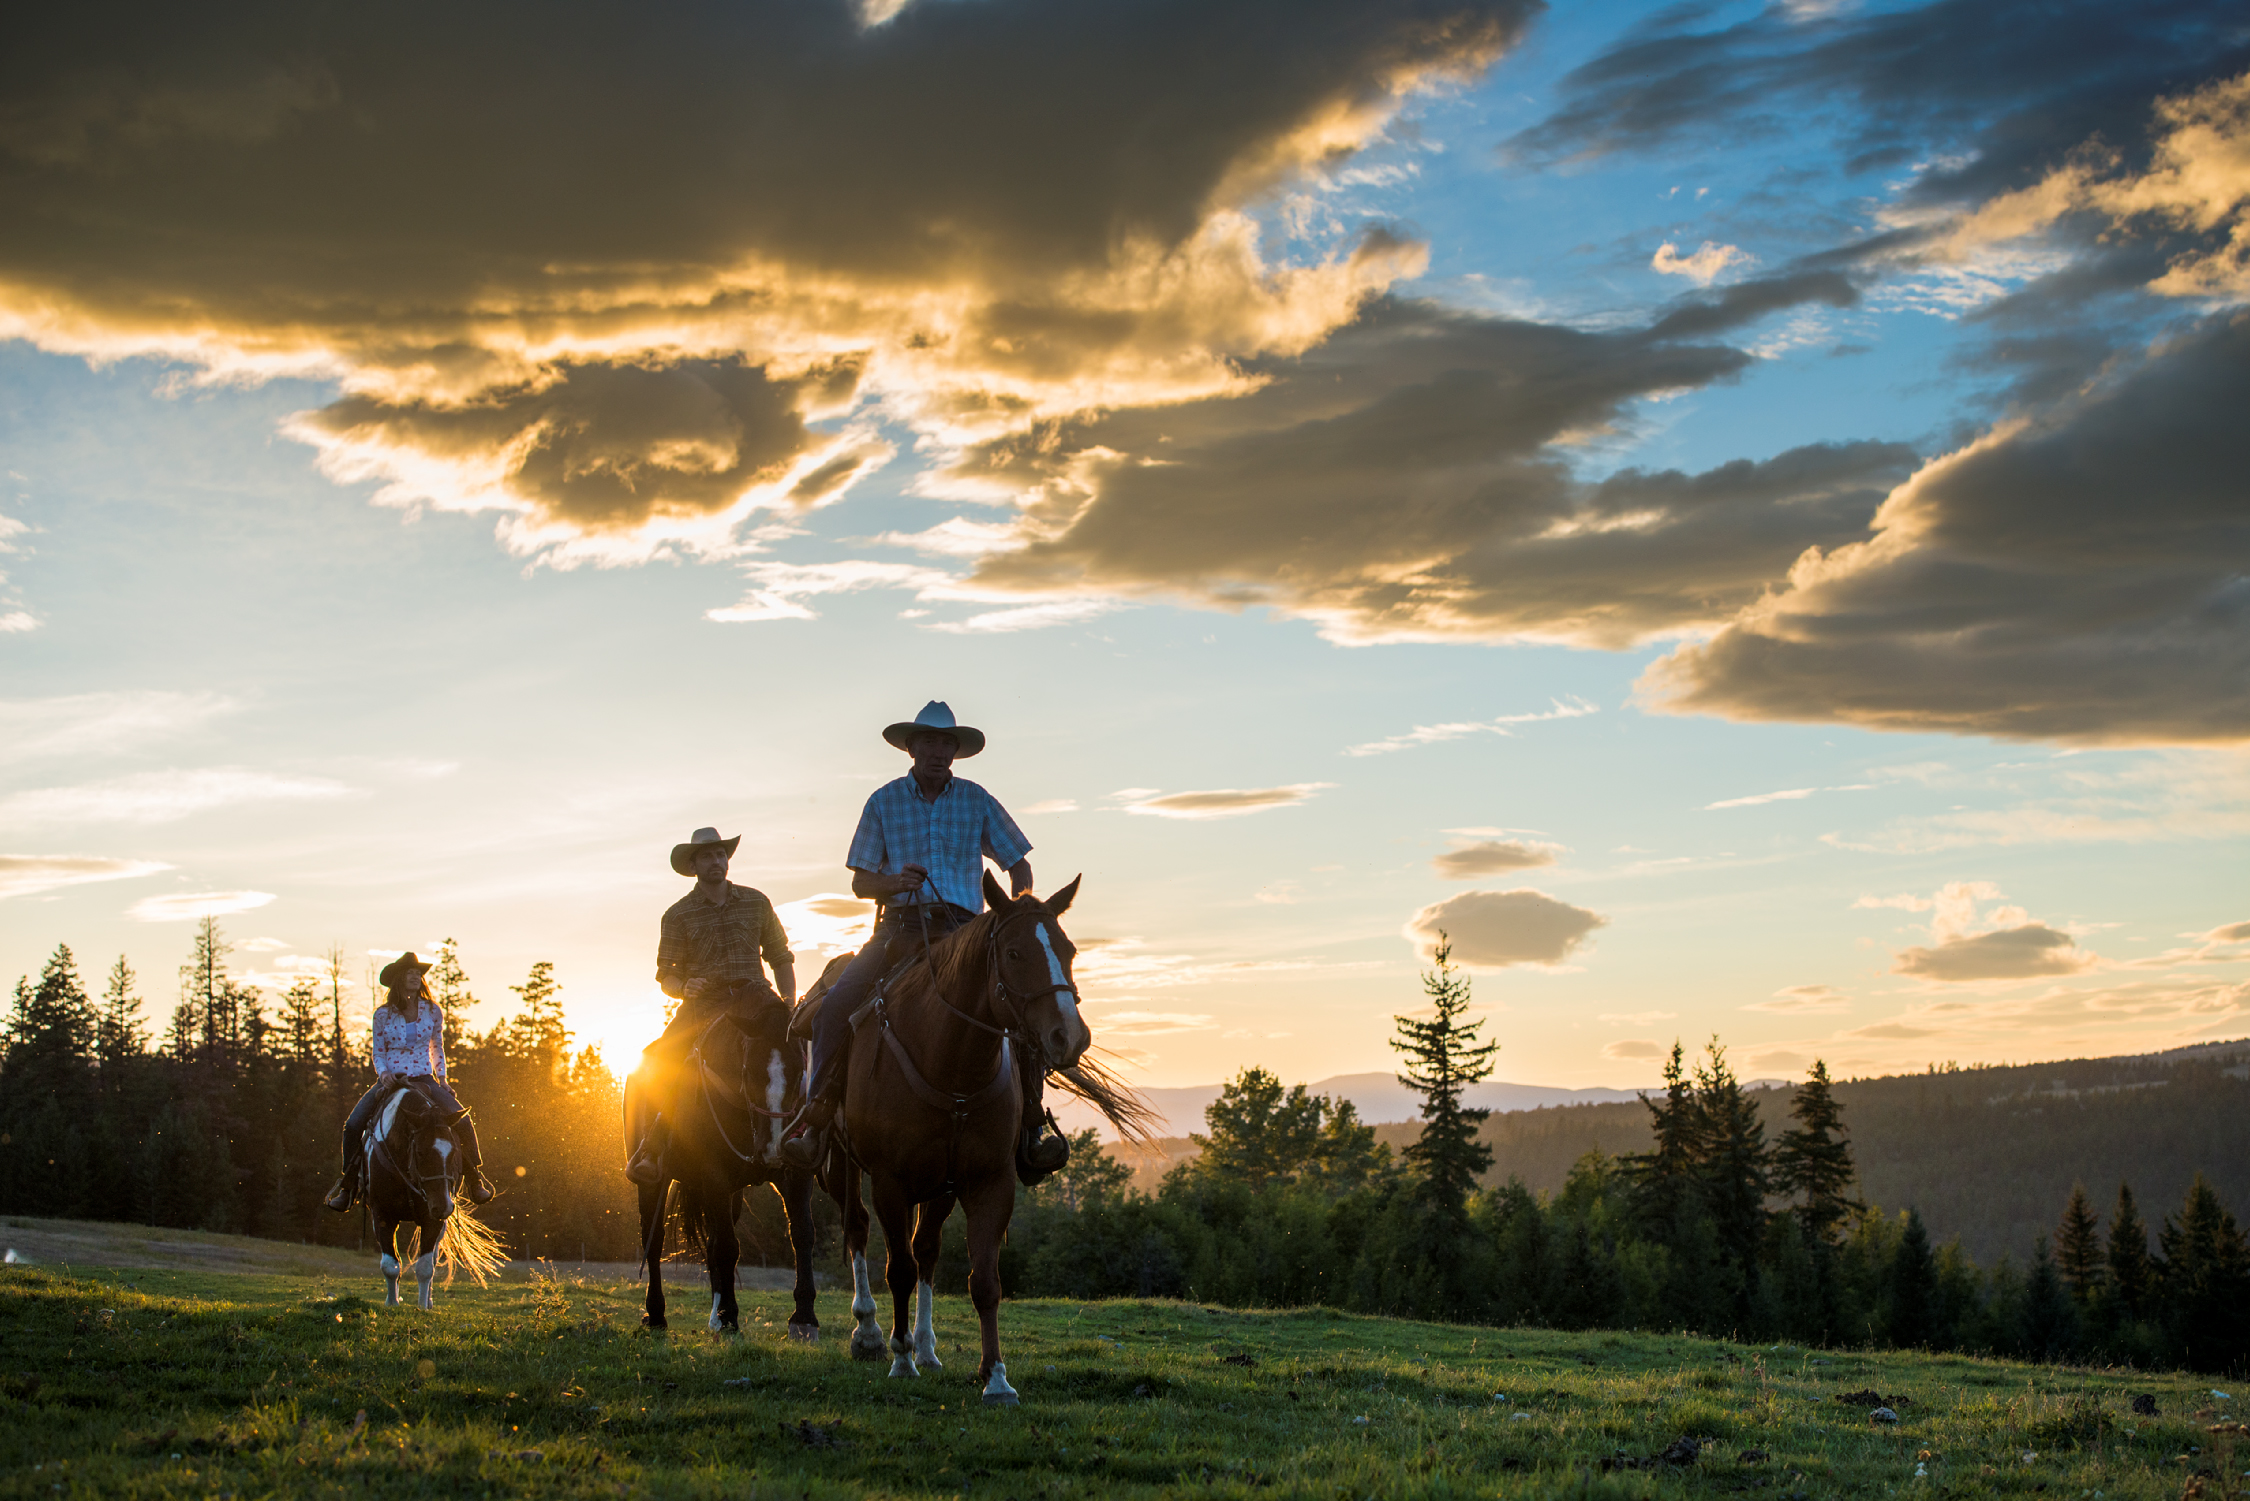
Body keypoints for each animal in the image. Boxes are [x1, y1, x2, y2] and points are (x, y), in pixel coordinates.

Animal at [362, 1080, 504, 1314]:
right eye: (420, 1152)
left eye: (455, 1152)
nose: (443, 1206)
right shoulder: (382, 1214)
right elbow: (390, 1265)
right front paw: (392, 1303)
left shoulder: (432, 1220)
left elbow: (426, 1267)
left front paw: (423, 1307)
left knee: (434, 1259)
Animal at [621, 990, 823, 1332]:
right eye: (748, 1071)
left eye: (799, 1070)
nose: (772, 1148)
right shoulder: (715, 1177)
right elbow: (728, 1247)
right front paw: (730, 1316)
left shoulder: (794, 1173)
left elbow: (802, 1234)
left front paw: (804, 1317)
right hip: (654, 1181)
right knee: (655, 1239)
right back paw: (657, 1315)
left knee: (711, 1243)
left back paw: (713, 1317)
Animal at [823, 868, 1143, 1413]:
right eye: (1014, 953)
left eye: (1069, 949)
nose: (1070, 1037)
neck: (949, 1061)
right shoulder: (890, 1182)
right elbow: (898, 1269)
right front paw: (900, 1362)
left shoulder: (989, 1181)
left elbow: (984, 1281)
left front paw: (994, 1377)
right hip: (843, 1166)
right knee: (858, 1229)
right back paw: (869, 1333)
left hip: (941, 1184)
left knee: (926, 1249)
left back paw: (927, 1349)